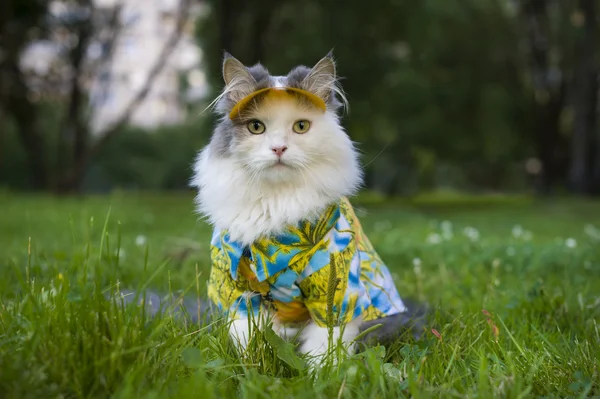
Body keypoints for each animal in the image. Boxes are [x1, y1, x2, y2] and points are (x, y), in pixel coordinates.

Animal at [190, 51, 424, 368]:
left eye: (300, 127)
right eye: (256, 127)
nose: (278, 149)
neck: (276, 203)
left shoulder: (333, 290)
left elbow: (325, 346)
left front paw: (321, 373)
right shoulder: (234, 289)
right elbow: (246, 339)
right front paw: (249, 366)